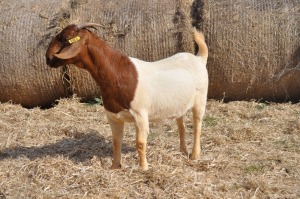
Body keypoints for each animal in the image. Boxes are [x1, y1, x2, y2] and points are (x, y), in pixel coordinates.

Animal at [45, 22, 209, 170]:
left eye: (66, 38)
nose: (47, 58)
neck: (119, 73)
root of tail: (199, 58)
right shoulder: (113, 116)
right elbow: (116, 141)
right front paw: (114, 166)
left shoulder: (141, 115)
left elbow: (140, 143)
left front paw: (143, 168)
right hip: (179, 105)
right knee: (181, 126)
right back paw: (183, 151)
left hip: (201, 100)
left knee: (197, 125)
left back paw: (194, 155)